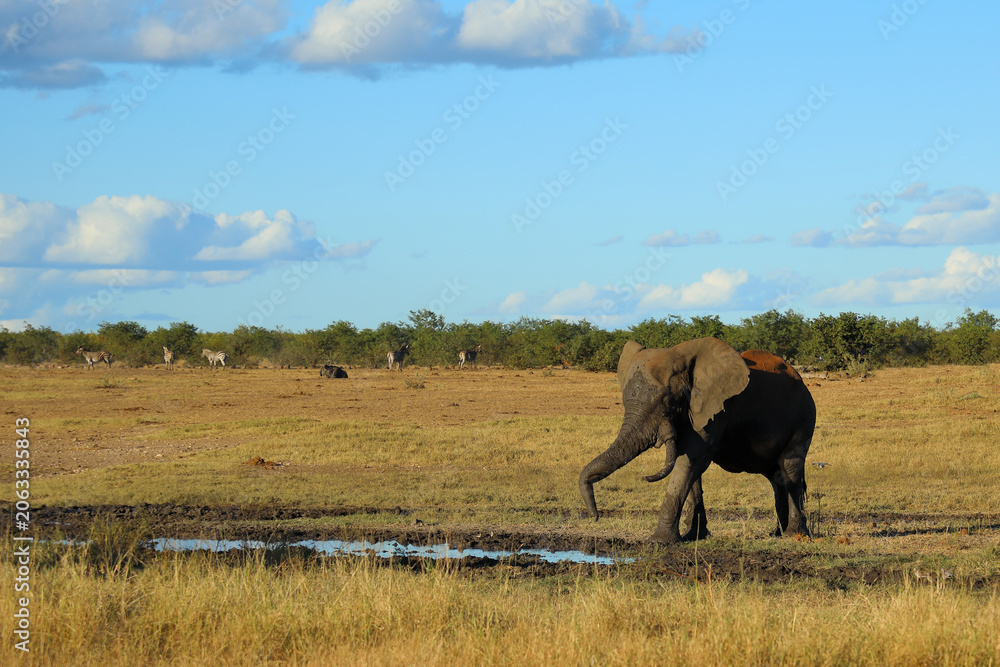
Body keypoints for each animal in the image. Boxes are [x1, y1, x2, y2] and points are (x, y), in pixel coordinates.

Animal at [579, 337, 815, 544]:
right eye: (625, 400)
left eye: (668, 400)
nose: (595, 516)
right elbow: (690, 464)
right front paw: (693, 537)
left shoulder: (716, 407)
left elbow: (691, 457)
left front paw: (659, 541)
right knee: (776, 477)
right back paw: (777, 533)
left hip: (804, 416)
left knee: (789, 467)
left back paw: (794, 536)